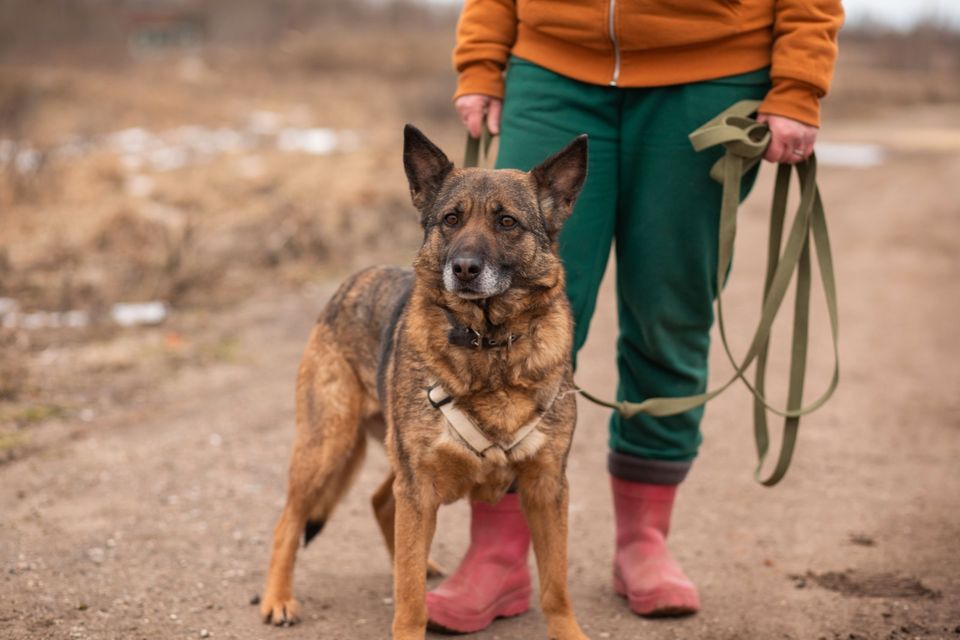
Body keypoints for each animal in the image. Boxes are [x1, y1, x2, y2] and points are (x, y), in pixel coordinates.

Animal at [258, 125, 588, 640]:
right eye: (451, 220)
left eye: (507, 222)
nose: (464, 268)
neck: (487, 344)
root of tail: (351, 281)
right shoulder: (419, 488)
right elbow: (409, 600)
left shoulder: (546, 487)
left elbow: (556, 587)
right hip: (327, 445)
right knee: (289, 521)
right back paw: (277, 599)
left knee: (380, 504)